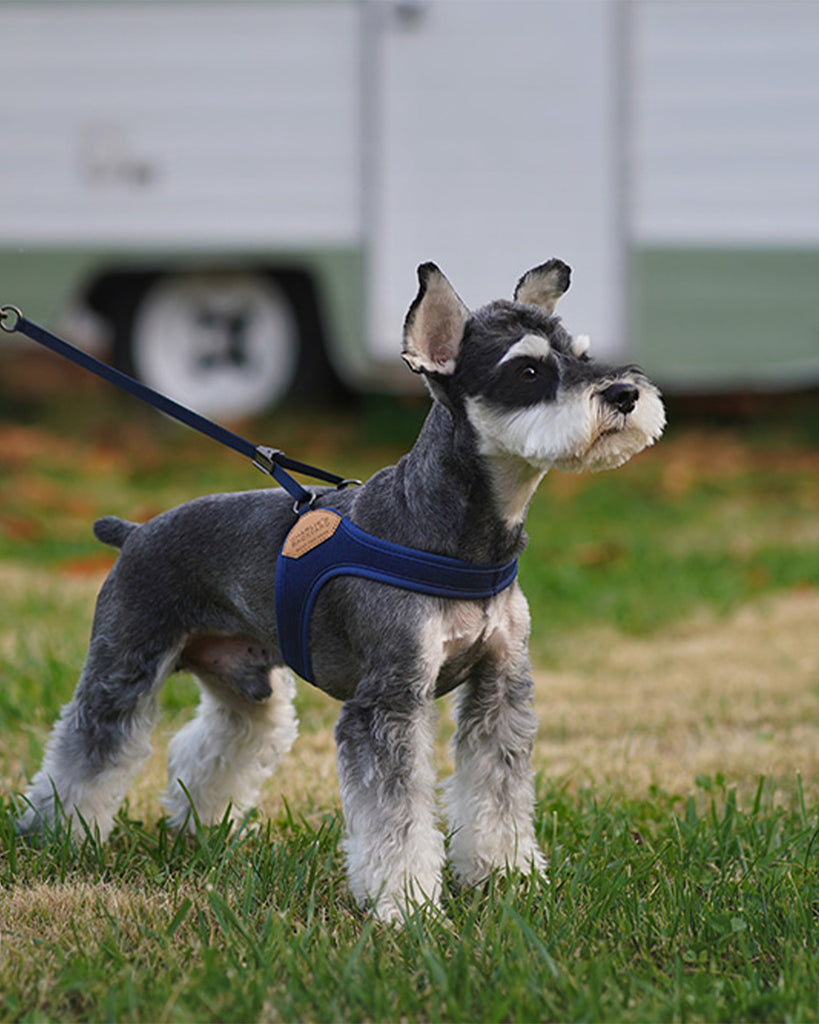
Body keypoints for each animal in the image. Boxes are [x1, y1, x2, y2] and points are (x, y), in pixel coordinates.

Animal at [15, 258, 663, 921]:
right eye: (528, 370)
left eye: (582, 354)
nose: (625, 394)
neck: (460, 532)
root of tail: (136, 532)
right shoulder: (389, 702)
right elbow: (397, 818)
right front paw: (409, 905)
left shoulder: (500, 687)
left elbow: (498, 792)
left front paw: (506, 876)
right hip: (124, 665)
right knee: (87, 749)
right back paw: (57, 834)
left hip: (245, 685)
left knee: (211, 745)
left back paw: (205, 826)